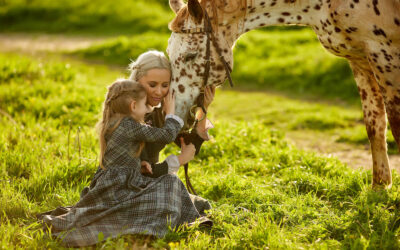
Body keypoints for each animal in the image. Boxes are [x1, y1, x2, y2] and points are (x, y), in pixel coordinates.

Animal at [166, 0, 400, 188]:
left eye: (190, 55)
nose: (173, 112)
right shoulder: (360, 60)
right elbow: (374, 126)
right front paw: (379, 189)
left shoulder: (384, 55)